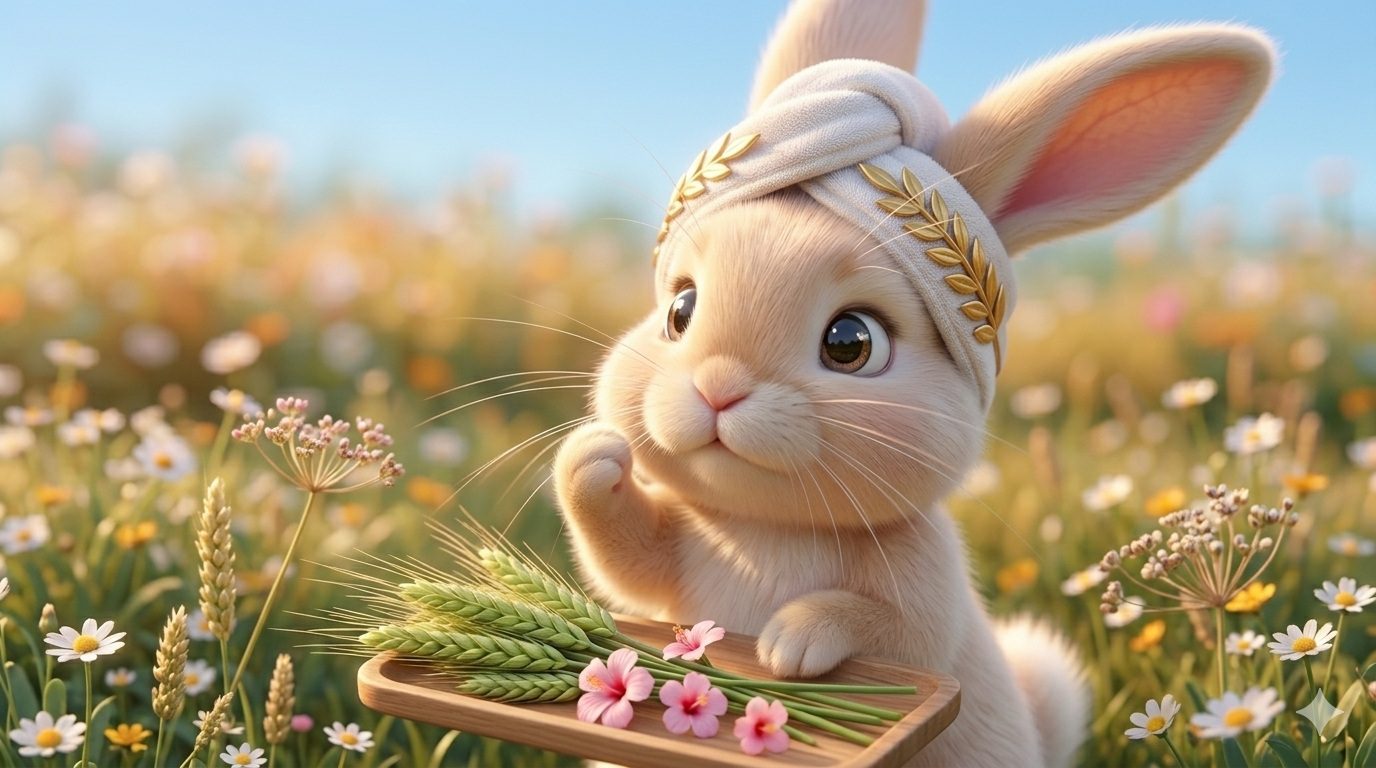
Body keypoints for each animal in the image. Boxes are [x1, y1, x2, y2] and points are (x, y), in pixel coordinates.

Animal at [553, 1, 1274, 765]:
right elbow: (626, 561)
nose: (719, 390)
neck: (769, 528)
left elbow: (892, 629)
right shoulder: (672, 561)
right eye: (680, 310)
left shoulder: (925, 590)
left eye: (852, 342)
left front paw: (791, 642)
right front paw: (593, 456)